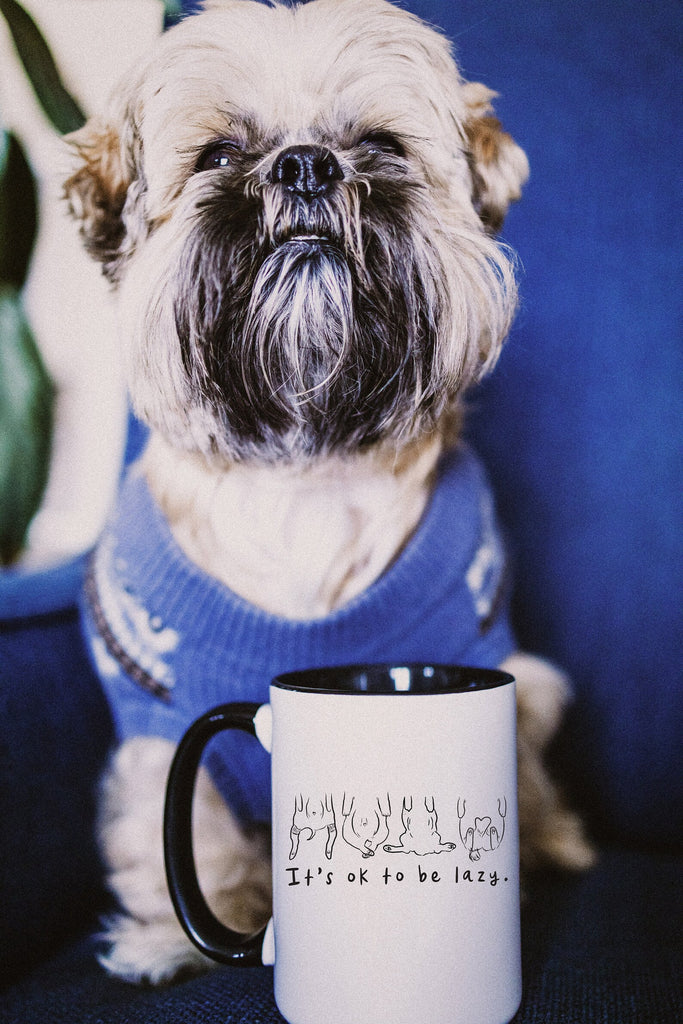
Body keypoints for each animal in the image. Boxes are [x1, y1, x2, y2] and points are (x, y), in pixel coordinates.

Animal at [66, 0, 593, 983]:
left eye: (379, 144)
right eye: (217, 155)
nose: (305, 163)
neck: (304, 467)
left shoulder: (496, 664)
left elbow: (514, 778)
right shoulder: (157, 725)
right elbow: (183, 830)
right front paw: (175, 934)